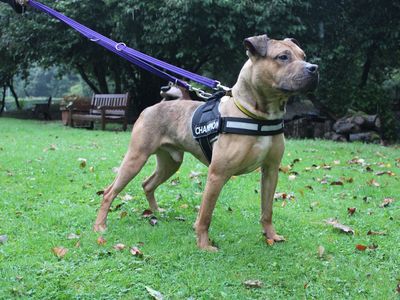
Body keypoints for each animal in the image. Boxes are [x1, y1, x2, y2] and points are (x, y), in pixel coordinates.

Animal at [94, 33, 318, 251]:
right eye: (283, 57)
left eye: (303, 56)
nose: (314, 69)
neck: (256, 114)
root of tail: (154, 106)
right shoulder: (217, 175)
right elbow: (205, 215)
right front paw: (204, 245)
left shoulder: (270, 170)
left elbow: (267, 210)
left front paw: (271, 236)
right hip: (136, 158)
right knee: (109, 192)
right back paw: (100, 226)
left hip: (170, 163)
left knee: (148, 184)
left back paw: (157, 212)